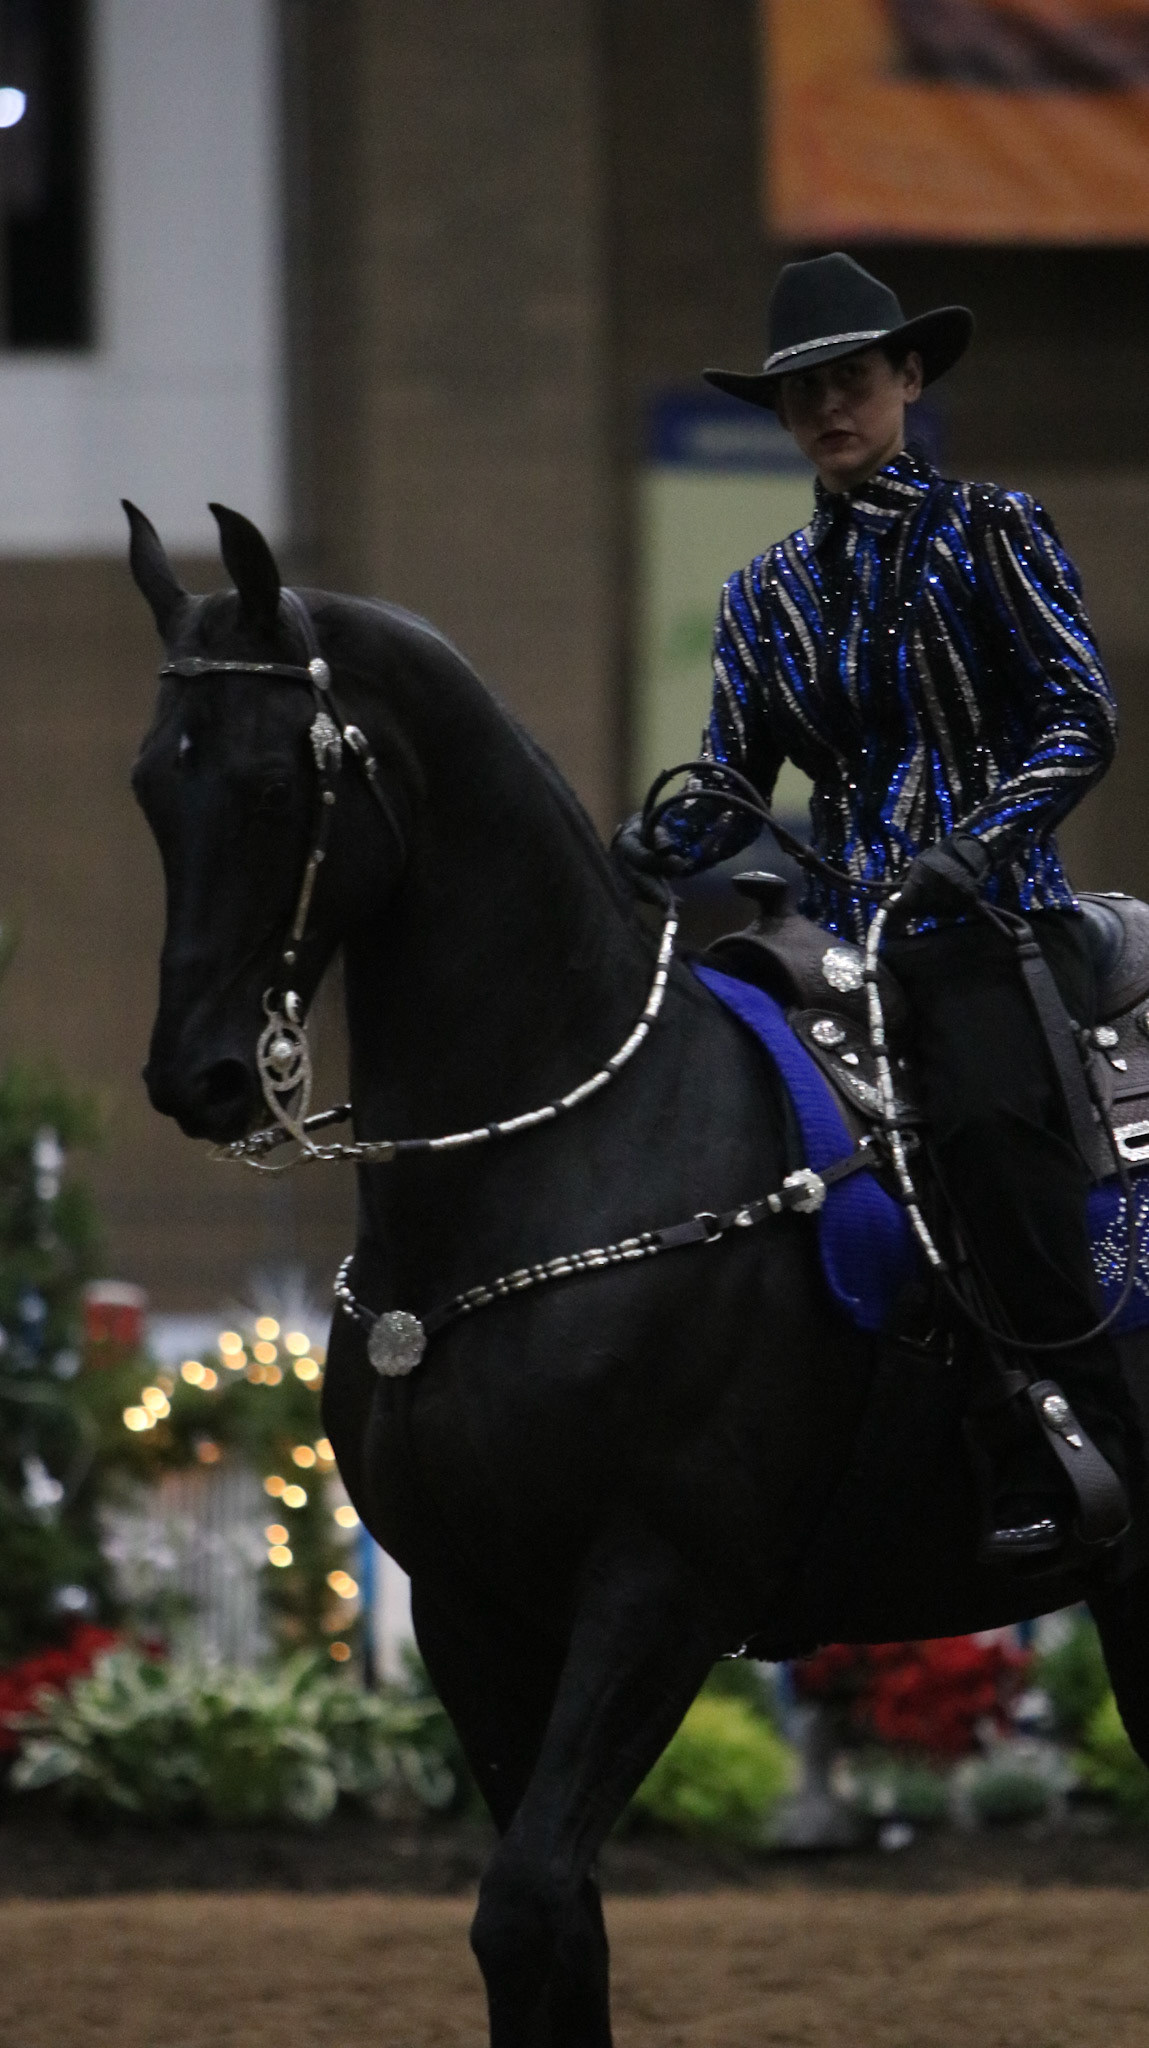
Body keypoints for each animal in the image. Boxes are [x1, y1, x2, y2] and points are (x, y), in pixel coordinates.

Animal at [128, 499, 1149, 2048]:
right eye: (149, 785)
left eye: (263, 782)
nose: (197, 1076)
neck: (569, 1151)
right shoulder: (468, 1605)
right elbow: (554, 1931)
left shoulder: (658, 1593)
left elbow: (524, 1904)